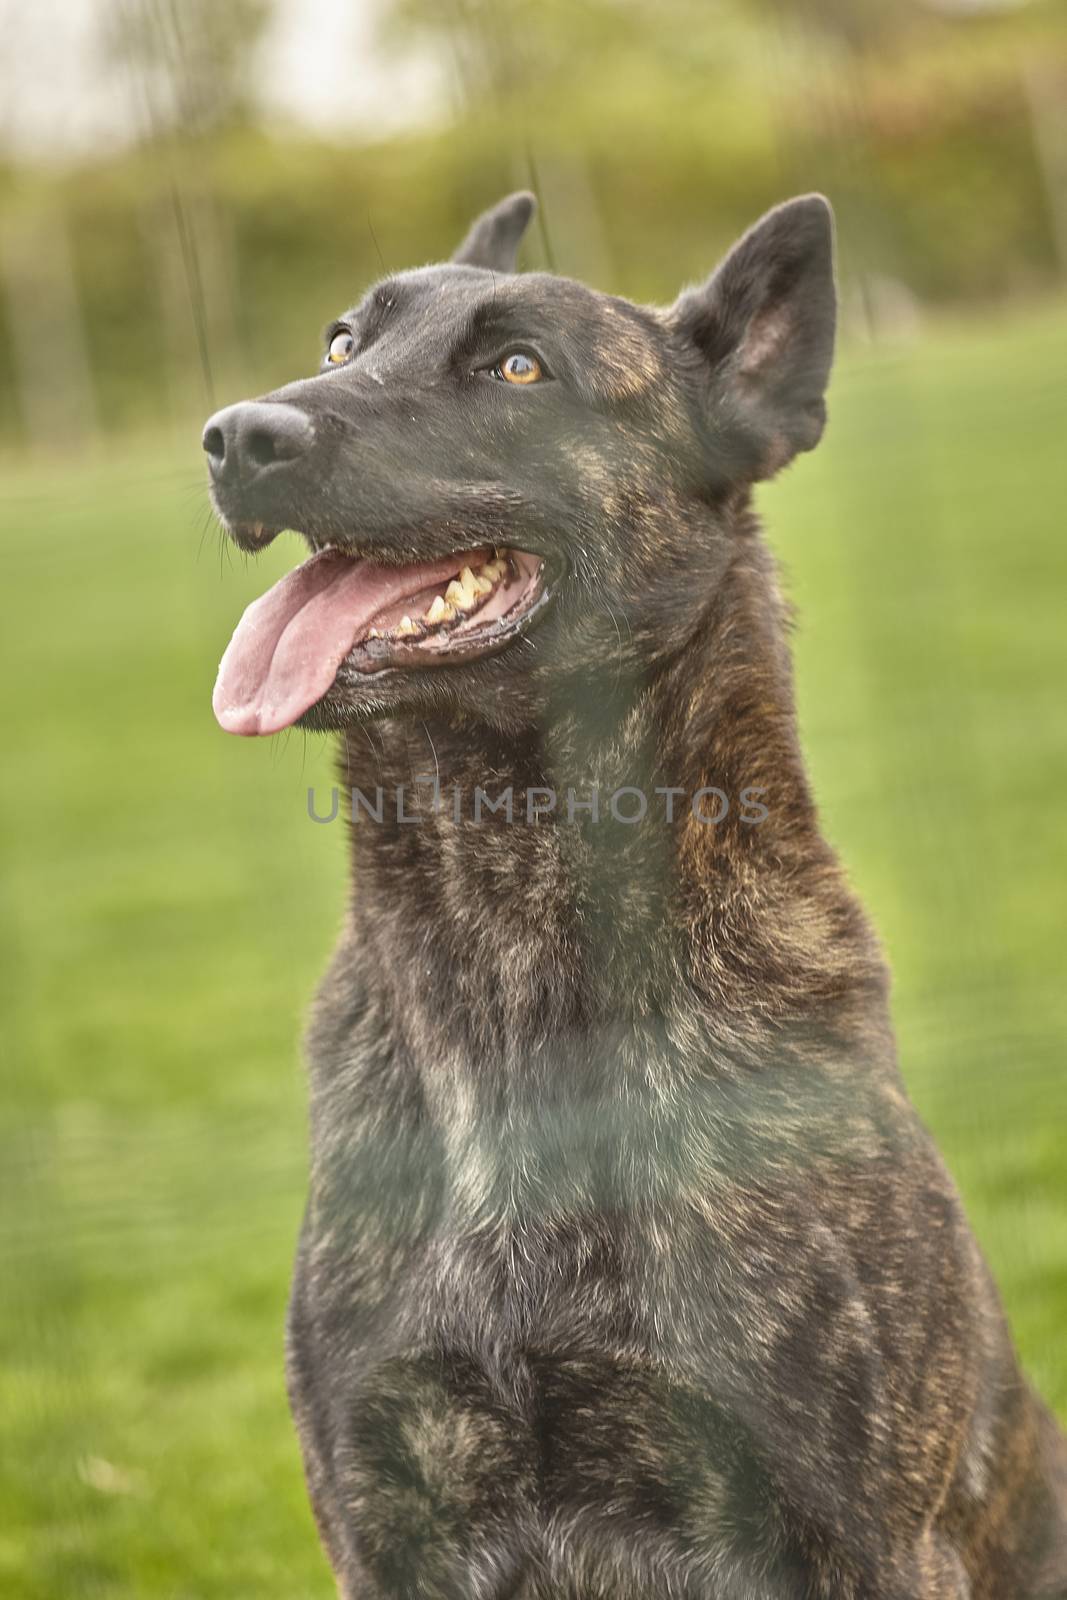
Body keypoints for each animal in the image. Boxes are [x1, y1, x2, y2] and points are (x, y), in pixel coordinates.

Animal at [202, 193, 1067, 1593]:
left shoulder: (868, 1537)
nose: (234, 437)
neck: (502, 959)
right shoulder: (389, 1526)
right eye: (340, 342)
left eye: (517, 368)